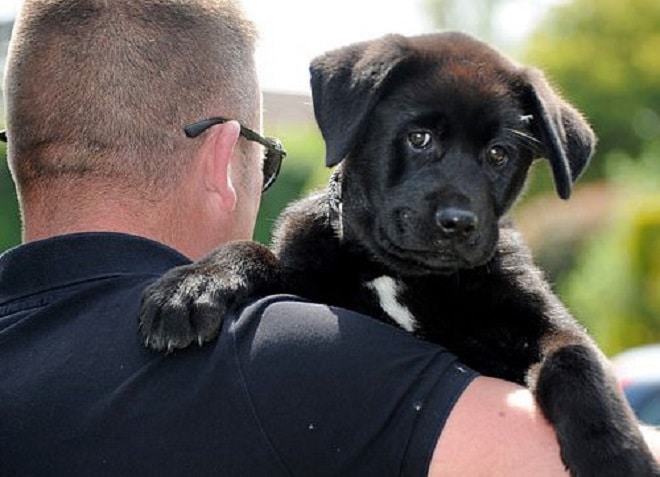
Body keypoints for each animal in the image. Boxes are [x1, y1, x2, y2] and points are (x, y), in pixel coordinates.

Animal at [139, 31, 660, 474]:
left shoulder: (537, 320)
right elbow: (253, 250)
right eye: (419, 138)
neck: (398, 271)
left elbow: (576, 358)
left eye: (498, 154)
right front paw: (193, 286)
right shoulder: (307, 276)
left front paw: (617, 457)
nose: (458, 223)